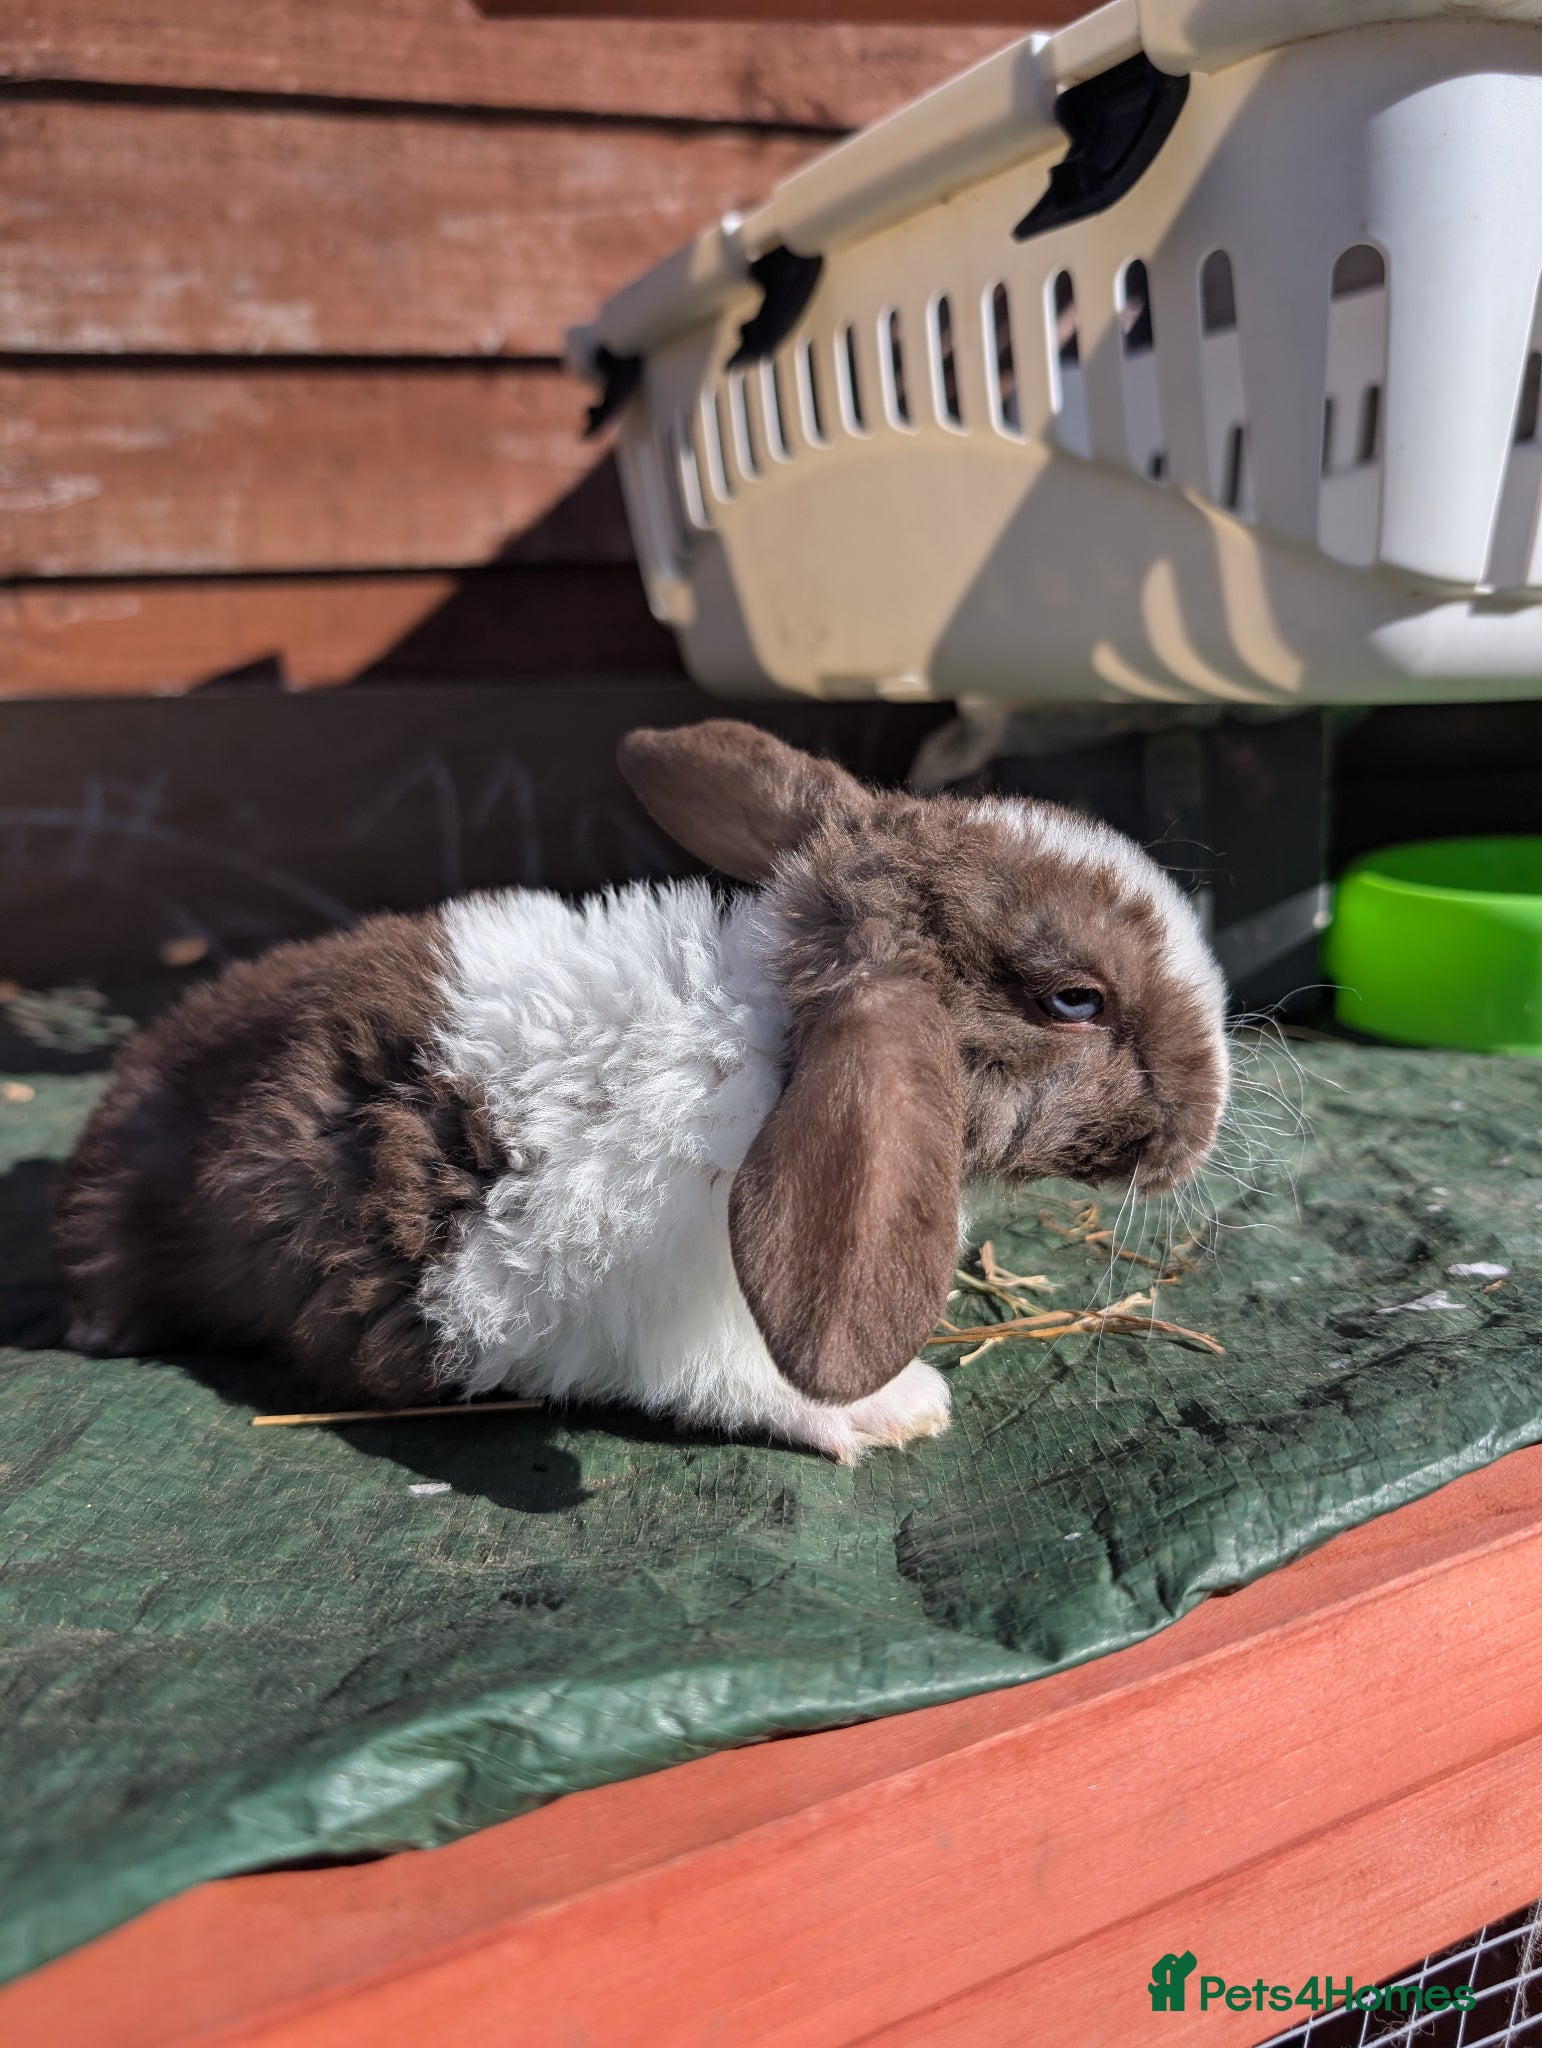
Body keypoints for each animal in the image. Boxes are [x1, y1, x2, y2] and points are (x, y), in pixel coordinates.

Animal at [55, 719, 1229, 1463]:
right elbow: (752, 1385)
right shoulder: (691, 1320)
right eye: (1074, 1000)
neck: (771, 1051)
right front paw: (898, 1409)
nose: (1212, 1111)